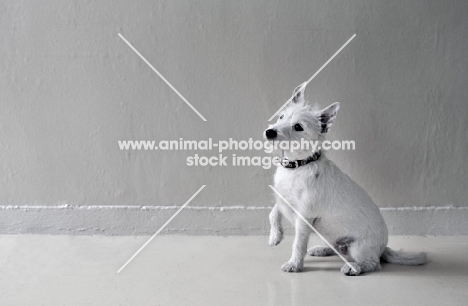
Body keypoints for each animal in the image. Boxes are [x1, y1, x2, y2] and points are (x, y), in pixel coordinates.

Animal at [266, 82, 426, 276]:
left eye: (298, 127)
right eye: (281, 116)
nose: (269, 132)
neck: (298, 166)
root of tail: (382, 249)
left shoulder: (304, 218)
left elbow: (298, 244)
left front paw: (294, 264)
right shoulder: (282, 199)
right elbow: (273, 212)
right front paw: (275, 236)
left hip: (359, 248)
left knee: (374, 264)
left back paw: (354, 267)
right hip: (331, 236)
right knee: (338, 249)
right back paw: (322, 249)